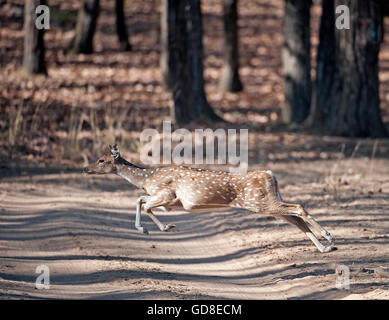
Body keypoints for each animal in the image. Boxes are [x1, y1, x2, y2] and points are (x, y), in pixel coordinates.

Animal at [83, 144, 334, 252]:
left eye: (102, 160)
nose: (85, 169)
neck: (147, 177)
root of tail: (270, 175)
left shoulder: (167, 194)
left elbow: (143, 204)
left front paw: (157, 228)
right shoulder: (169, 200)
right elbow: (141, 201)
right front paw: (157, 227)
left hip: (259, 203)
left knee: (299, 207)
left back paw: (329, 237)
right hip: (267, 202)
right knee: (297, 218)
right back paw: (324, 248)